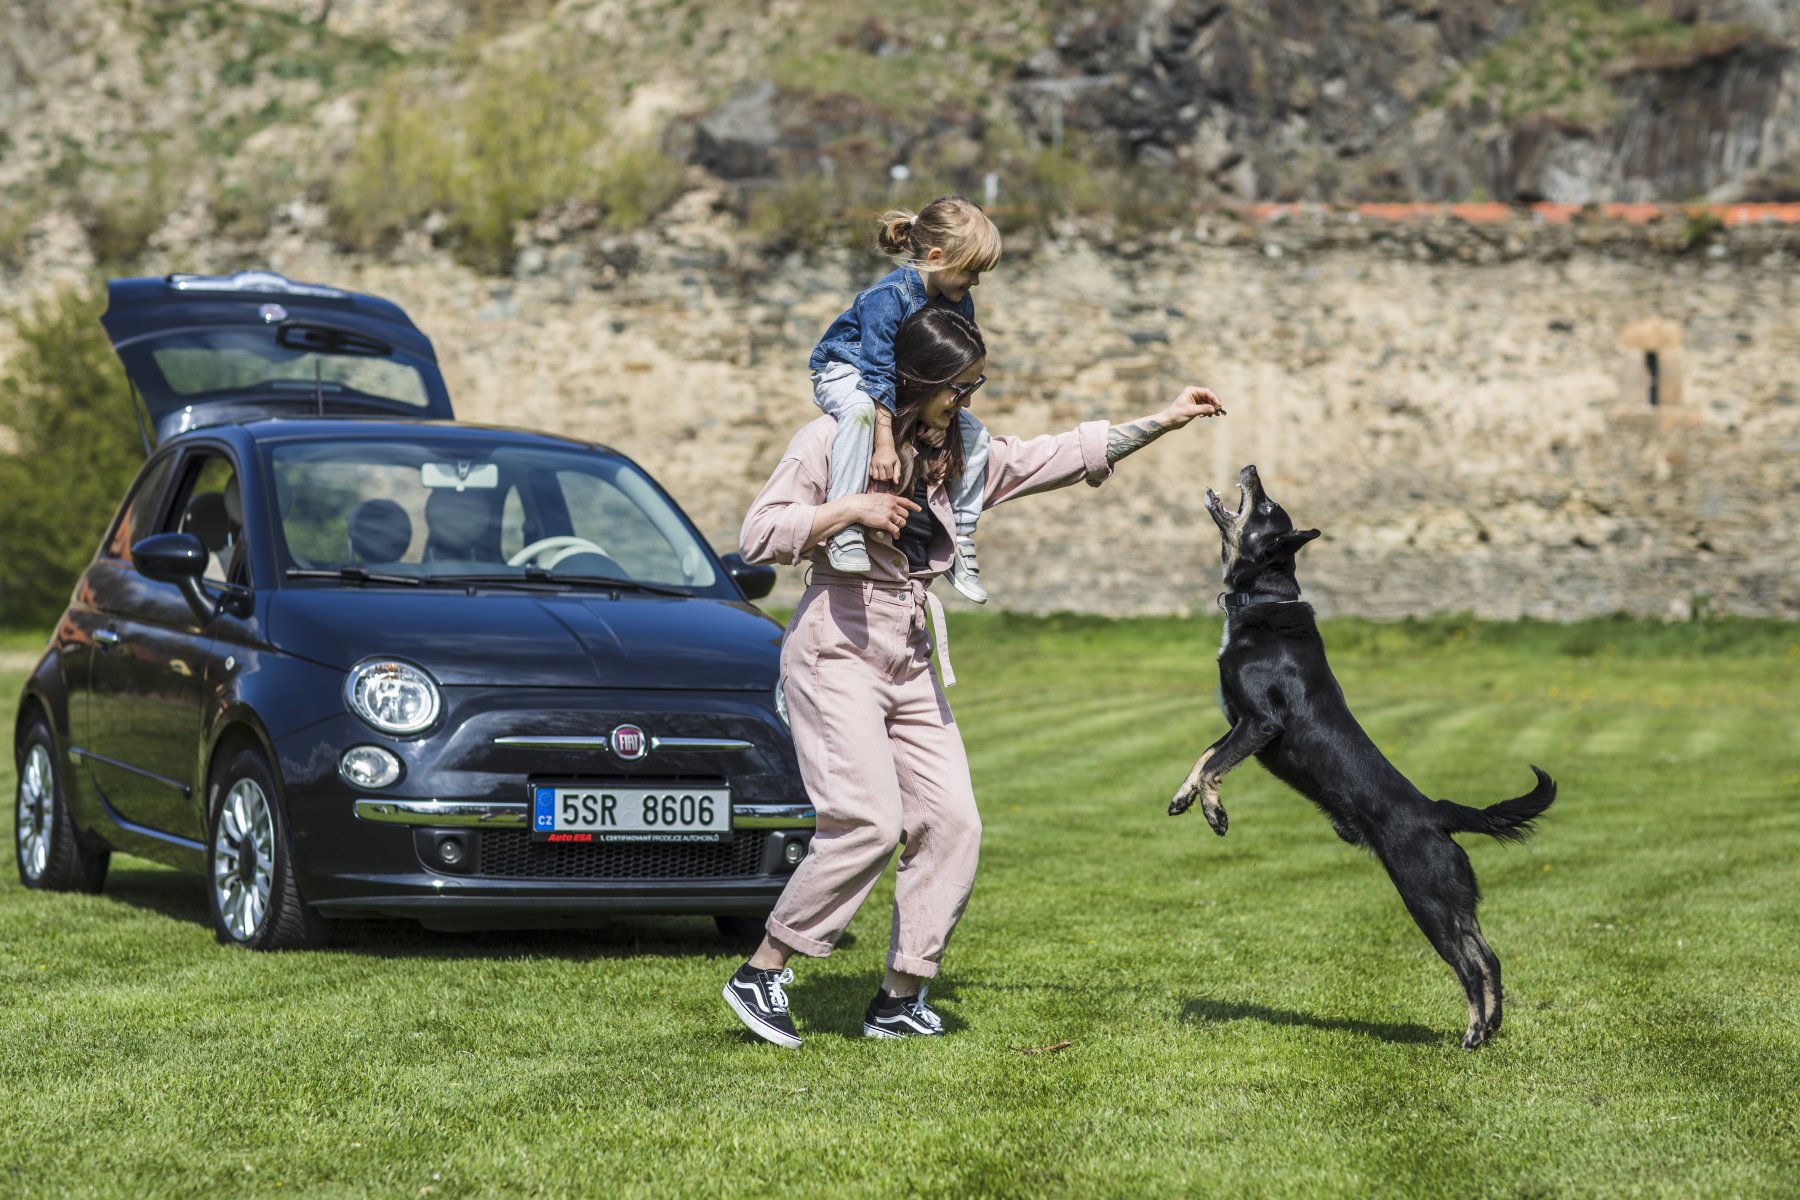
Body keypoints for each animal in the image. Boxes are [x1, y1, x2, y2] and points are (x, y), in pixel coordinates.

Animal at [1170, 465, 1556, 1050]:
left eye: (1266, 507)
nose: (1252, 469)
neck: (1262, 604)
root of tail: (1436, 812)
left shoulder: (1260, 723)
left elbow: (1216, 764)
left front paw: (1215, 813)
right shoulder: (1236, 722)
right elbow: (1204, 756)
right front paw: (1183, 797)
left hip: (1426, 897)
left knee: (1469, 965)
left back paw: (1471, 1033)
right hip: (1454, 901)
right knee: (1490, 958)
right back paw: (1489, 1029)